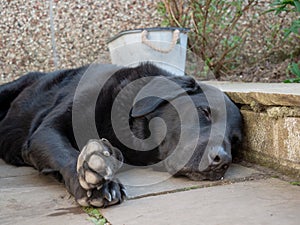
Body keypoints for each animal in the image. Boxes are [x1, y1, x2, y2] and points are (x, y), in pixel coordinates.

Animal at [0, 63, 241, 207]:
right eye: (205, 112)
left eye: (236, 141)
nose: (222, 161)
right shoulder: (45, 131)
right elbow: (66, 153)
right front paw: (99, 184)